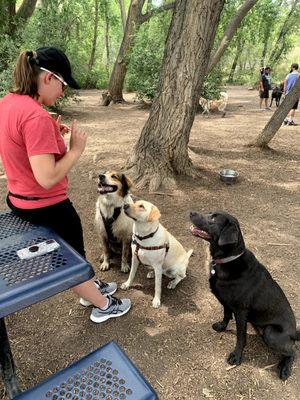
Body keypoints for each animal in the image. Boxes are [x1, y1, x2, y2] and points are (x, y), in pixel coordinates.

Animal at [191, 211, 298, 380]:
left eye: (213, 218)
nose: (191, 212)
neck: (227, 260)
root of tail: (294, 332)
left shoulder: (241, 312)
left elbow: (241, 337)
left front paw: (236, 357)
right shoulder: (227, 303)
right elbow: (226, 316)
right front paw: (221, 327)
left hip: (271, 333)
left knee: (293, 351)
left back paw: (285, 369)